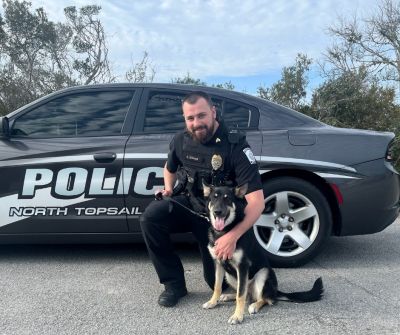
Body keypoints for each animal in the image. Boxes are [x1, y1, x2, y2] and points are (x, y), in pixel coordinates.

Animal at [202, 184, 324, 326]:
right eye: (213, 198)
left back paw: (255, 305)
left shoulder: (242, 266)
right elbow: (218, 286)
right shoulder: (218, 263)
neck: (224, 231)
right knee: (244, 292)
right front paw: (212, 302)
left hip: (263, 274)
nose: (218, 212)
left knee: (264, 299)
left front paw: (237, 316)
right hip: (230, 276)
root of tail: (274, 291)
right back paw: (228, 296)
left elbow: (240, 296)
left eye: (227, 199)